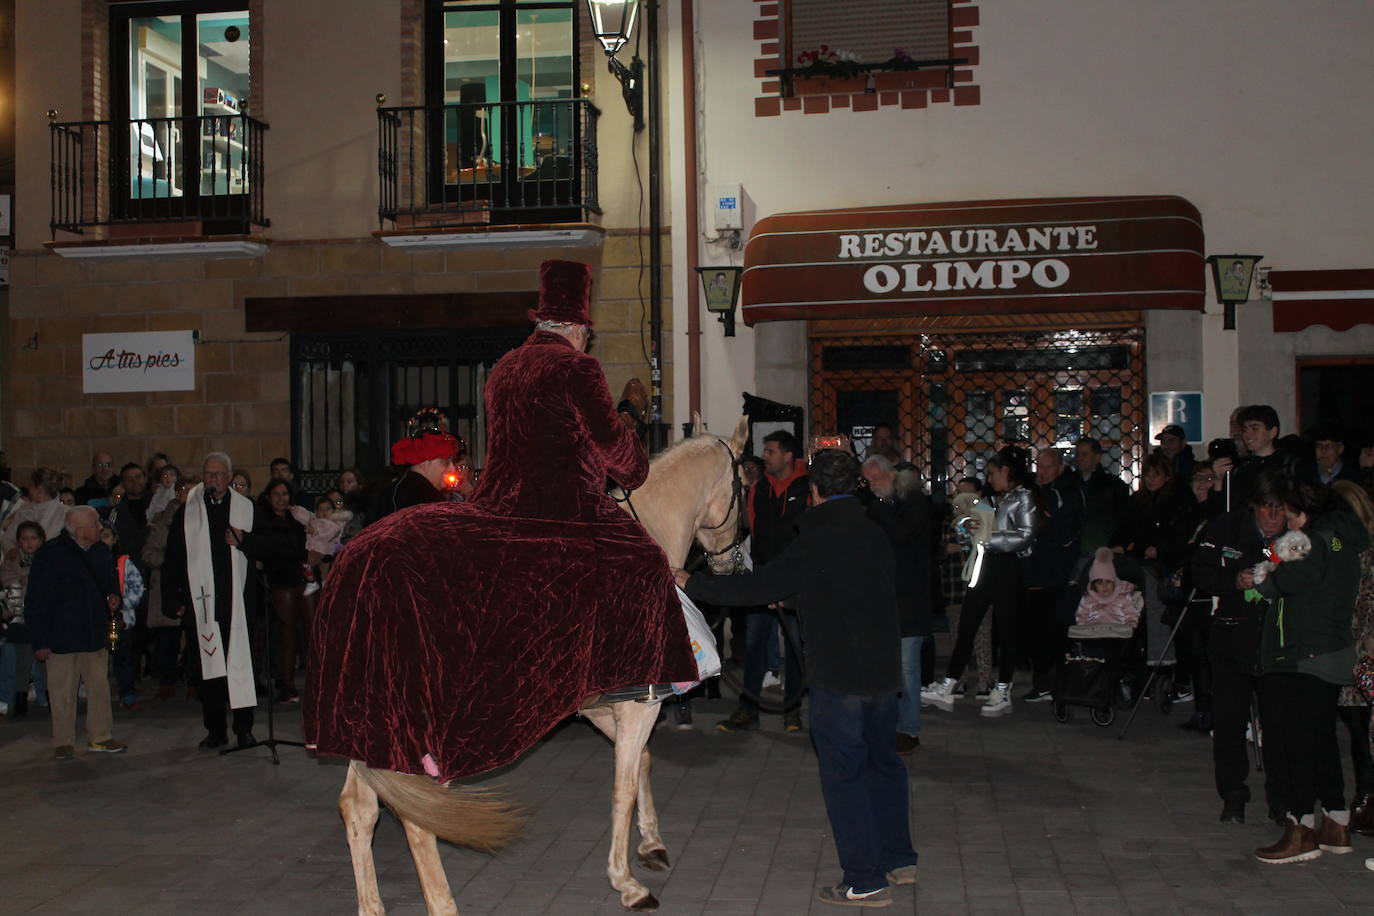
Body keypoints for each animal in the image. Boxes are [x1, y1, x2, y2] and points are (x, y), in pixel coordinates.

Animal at [340, 417, 752, 916]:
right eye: (745, 485)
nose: (733, 564)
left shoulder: (600, 706)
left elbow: (641, 764)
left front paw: (651, 843)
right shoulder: (639, 703)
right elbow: (623, 785)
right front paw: (626, 883)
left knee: (359, 807)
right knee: (416, 817)